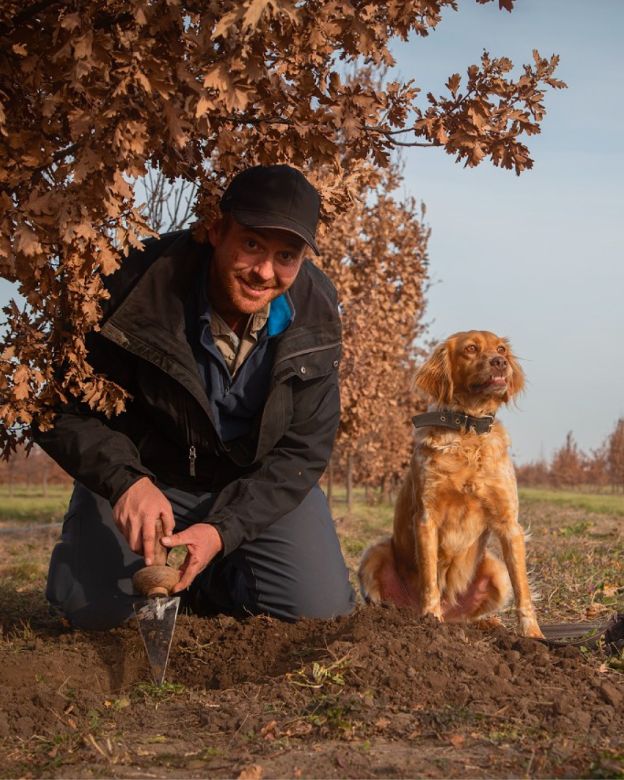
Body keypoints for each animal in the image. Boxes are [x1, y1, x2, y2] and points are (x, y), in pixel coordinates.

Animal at [358, 330, 544, 640]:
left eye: (501, 349)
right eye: (470, 349)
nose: (500, 363)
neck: (468, 429)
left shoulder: (509, 524)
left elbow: (523, 590)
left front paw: (533, 636)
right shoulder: (426, 518)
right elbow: (430, 579)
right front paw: (431, 620)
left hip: (495, 570)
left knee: (470, 616)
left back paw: (487, 624)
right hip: (375, 553)